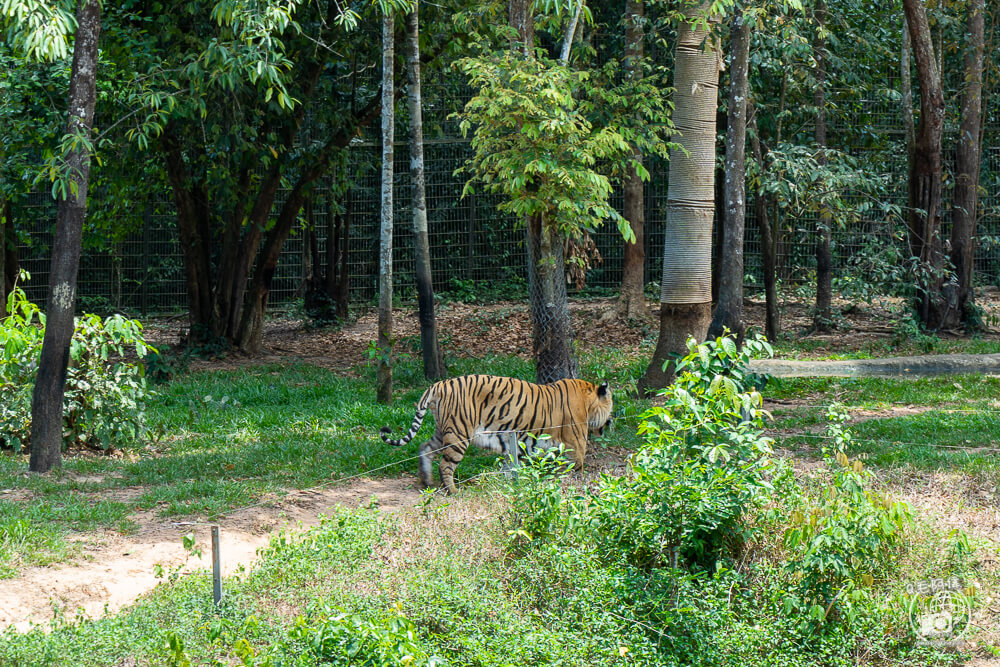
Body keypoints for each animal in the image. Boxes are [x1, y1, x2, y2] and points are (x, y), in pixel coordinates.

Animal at [380, 376, 608, 496]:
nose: (611, 420)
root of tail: (436, 385)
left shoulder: (515, 444)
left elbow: (510, 467)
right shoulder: (576, 442)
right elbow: (576, 466)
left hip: (443, 431)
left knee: (425, 449)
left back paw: (427, 481)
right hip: (459, 434)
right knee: (445, 465)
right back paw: (453, 491)